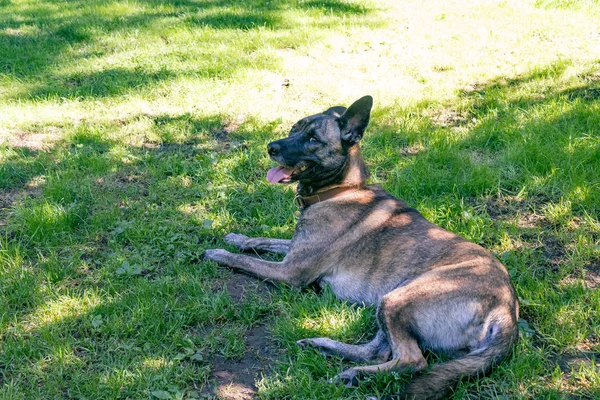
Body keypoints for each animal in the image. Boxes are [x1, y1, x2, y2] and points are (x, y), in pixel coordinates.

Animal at [204, 95, 516, 398]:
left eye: (313, 139)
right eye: (294, 129)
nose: (271, 147)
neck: (341, 190)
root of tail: (507, 308)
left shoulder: (290, 272)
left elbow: (245, 260)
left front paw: (219, 253)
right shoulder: (293, 252)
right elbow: (263, 240)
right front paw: (237, 238)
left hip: (400, 298)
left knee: (411, 360)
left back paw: (354, 374)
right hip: (391, 299)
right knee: (377, 351)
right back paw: (324, 347)